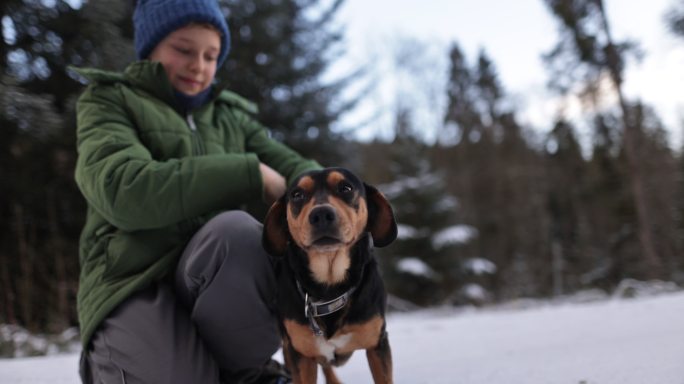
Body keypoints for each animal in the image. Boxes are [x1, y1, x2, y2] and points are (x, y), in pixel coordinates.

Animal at [264, 168, 400, 384]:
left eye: (346, 188)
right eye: (297, 195)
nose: (321, 214)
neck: (330, 289)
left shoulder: (378, 344)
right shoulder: (300, 353)